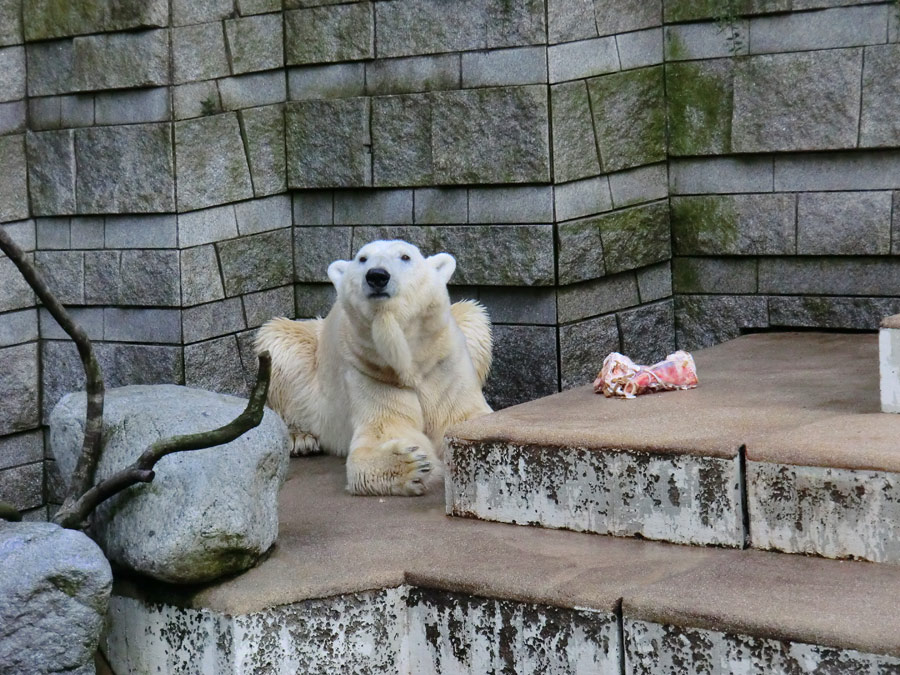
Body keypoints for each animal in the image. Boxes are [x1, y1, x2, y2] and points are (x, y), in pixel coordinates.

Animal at [253, 240, 492, 494]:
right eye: (362, 258)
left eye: (405, 256)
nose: (377, 276)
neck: (406, 359)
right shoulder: (371, 370)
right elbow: (385, 429)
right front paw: (411, 464)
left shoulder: (441, 363)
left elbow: (461, 417)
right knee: (278, 340)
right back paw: (301, 438)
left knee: (474, 315)